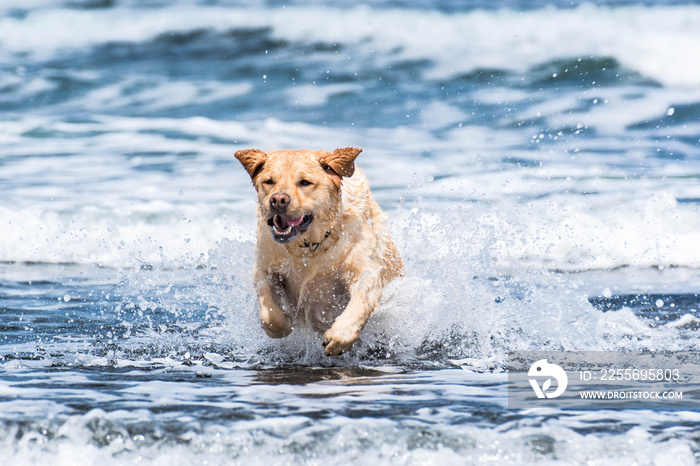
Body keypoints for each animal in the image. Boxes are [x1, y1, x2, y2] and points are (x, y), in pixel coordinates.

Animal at [234, 147, 402, 354]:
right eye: (269, 181)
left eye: (305, 182)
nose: (278, 200)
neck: (310, 246)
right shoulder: (263, 267)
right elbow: (270, 315)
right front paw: (285, 324)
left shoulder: (365, 270)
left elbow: (361, 301)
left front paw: (340, 336)